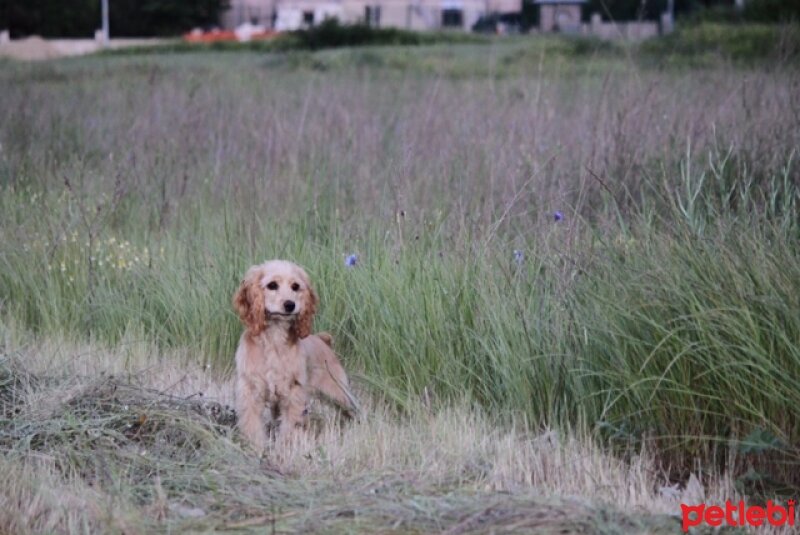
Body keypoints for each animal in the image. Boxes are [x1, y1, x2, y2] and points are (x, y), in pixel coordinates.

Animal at [231, 262, 356, 450]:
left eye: (295, 286)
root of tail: (323, 340)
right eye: (272, 285)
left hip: (337, 391)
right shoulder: (251, 391)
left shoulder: (293, 393)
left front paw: (284, 448)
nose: (290, 305)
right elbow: (252, 426)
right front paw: (257, 448)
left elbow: (289, 427)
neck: (274, 338)